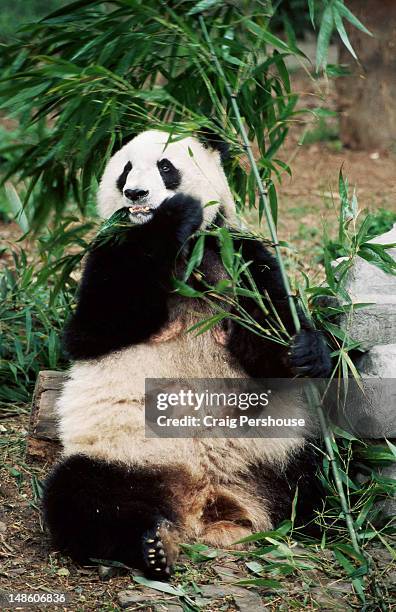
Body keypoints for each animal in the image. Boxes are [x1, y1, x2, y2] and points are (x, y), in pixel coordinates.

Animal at [42, 129, 332, 580]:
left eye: (166, 166)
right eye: (125, 169)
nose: (136, 193)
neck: (188, 250)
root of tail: (204, 499)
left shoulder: (236, 254)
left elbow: (267, 331)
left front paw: (304, 350)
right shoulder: (109, 248)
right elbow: (94, 326)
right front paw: (171, 218)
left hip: (278, 453)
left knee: (314, 483)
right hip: (123, 457)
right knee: (80, 498)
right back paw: (152, 546)